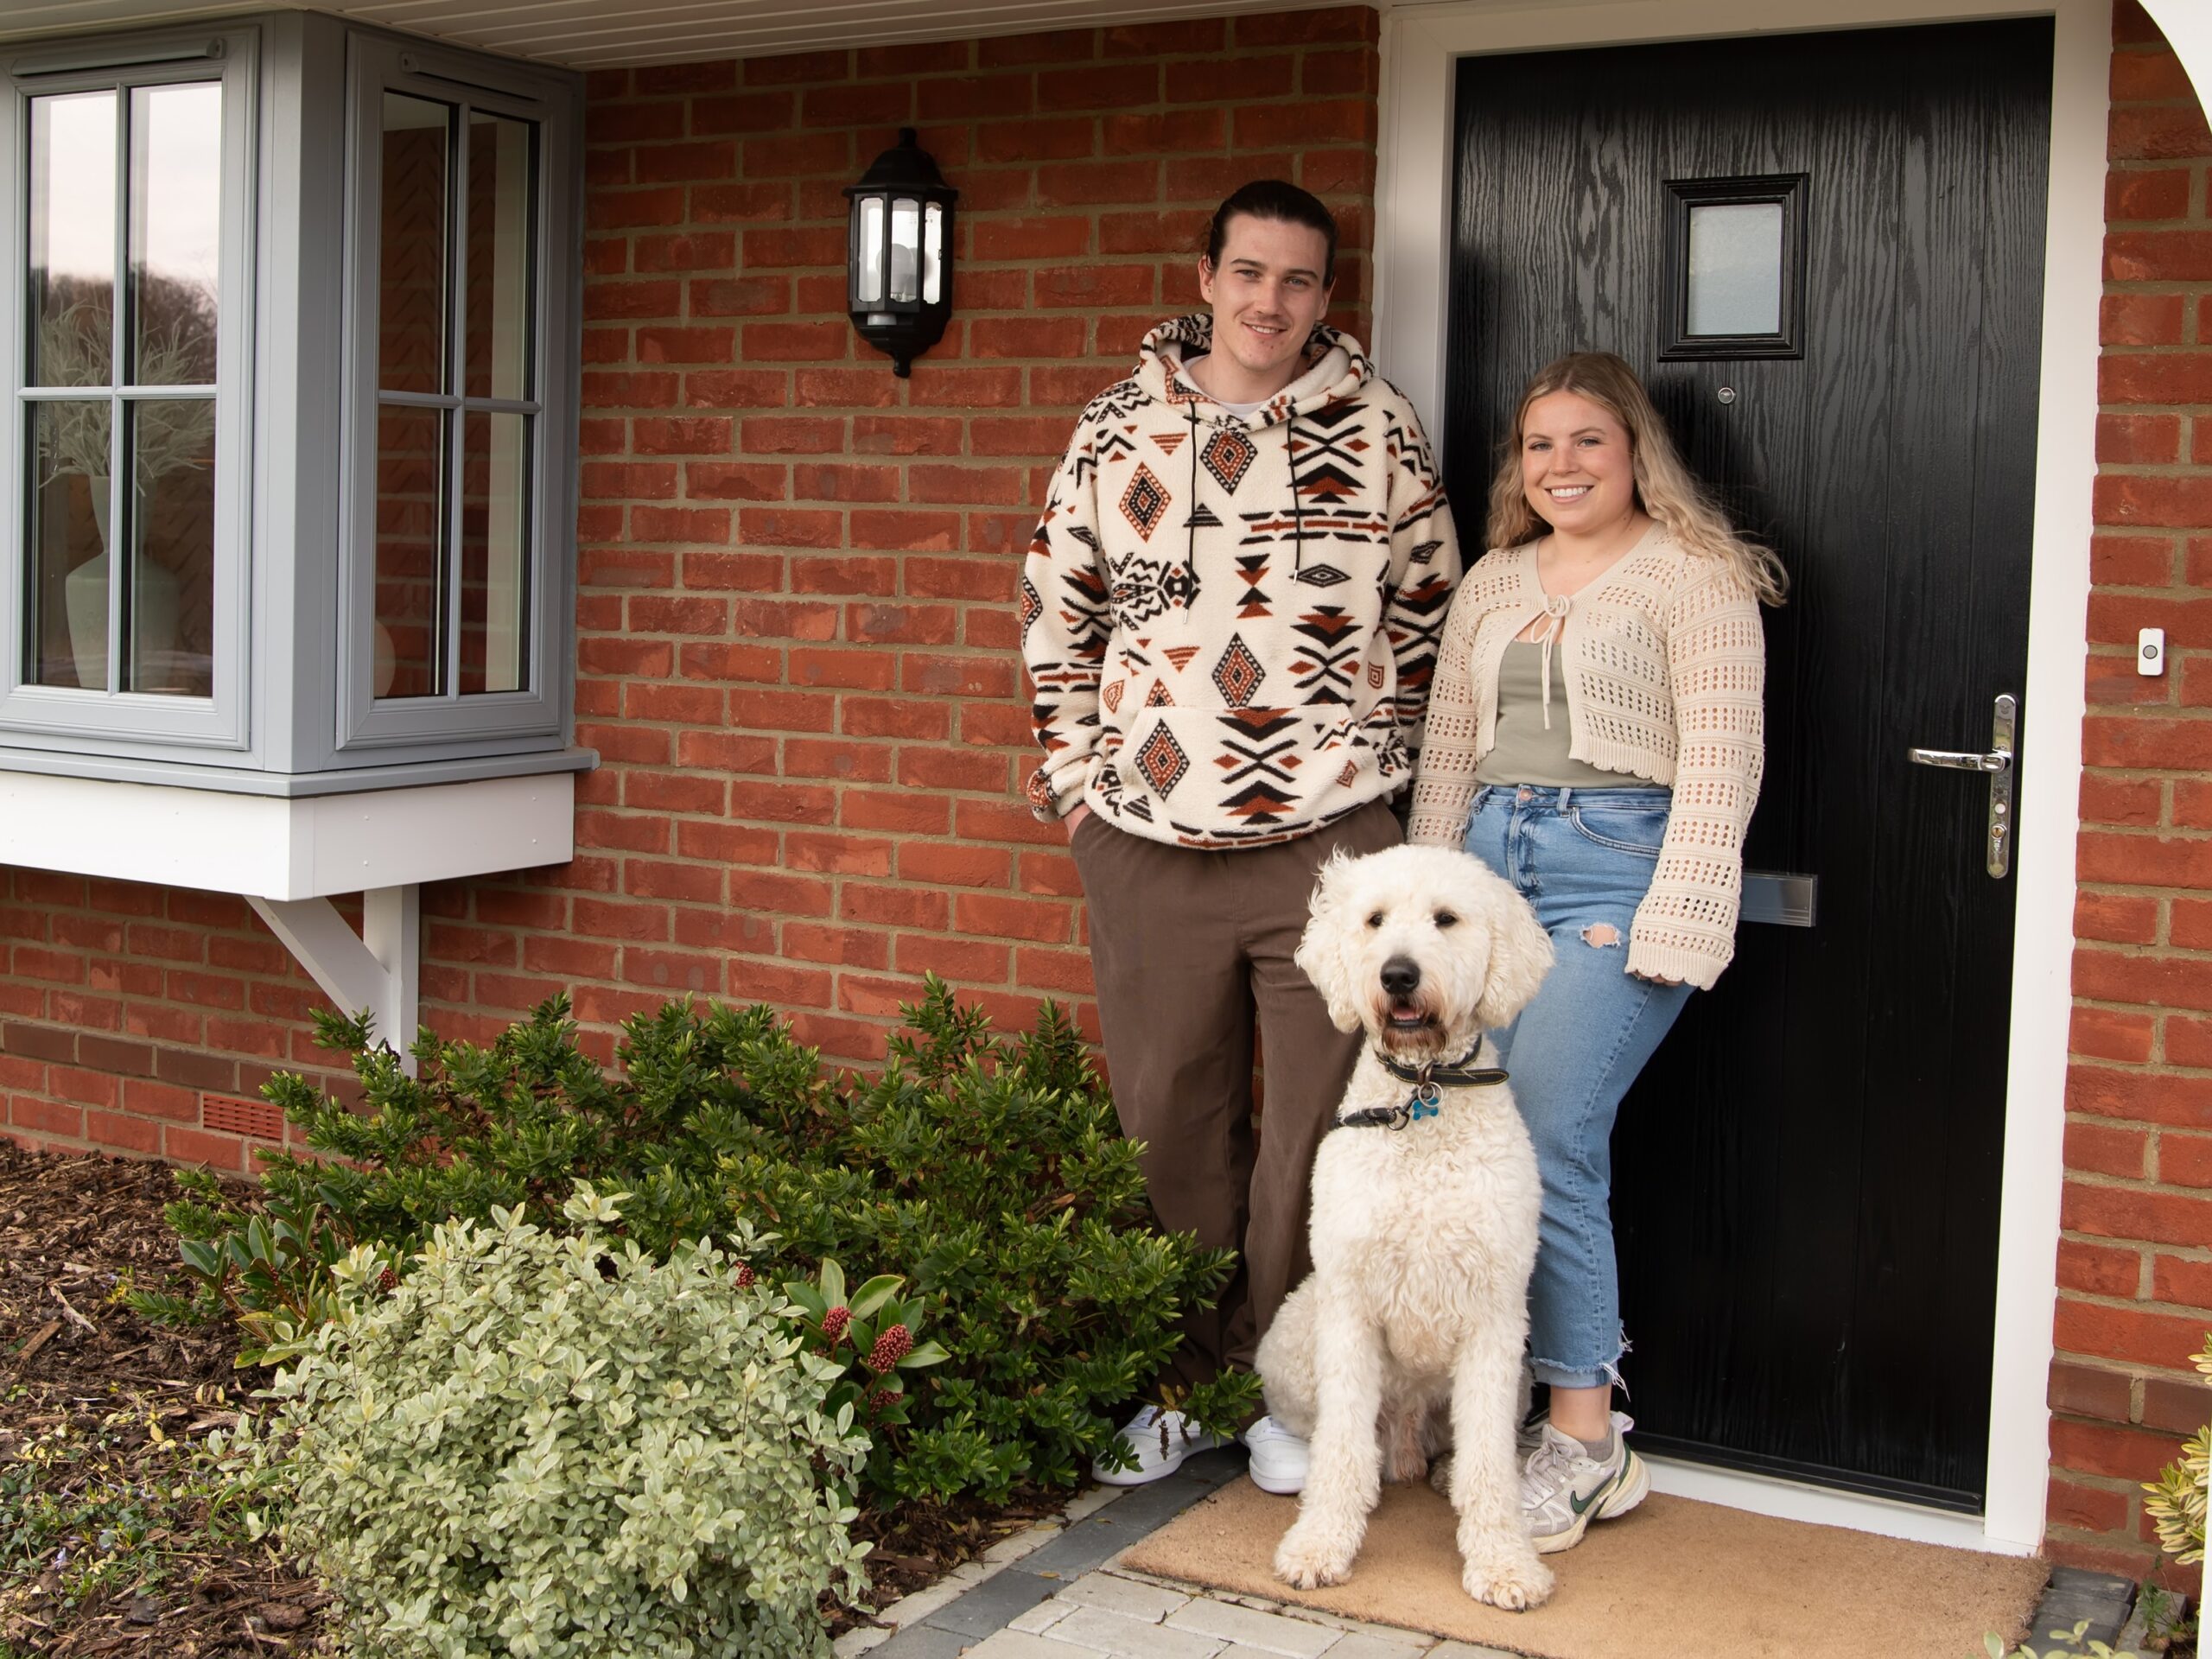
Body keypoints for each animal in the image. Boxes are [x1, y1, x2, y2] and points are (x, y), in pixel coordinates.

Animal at [1257, 842, 1557, 1611]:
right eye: (1375, 919)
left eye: (1446, 919)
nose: (1398, 974)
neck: (1424, 1095)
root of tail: (1407, 1440)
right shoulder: (1349, 1304)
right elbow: (1339, 1450)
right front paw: (1320, 1545)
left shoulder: (1494, 1316)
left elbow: (1488, 1461)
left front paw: (1503, 1563)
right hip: (1292, 1337)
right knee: (1346, 1439)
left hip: (1518, 1375)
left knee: (1468, 1446)